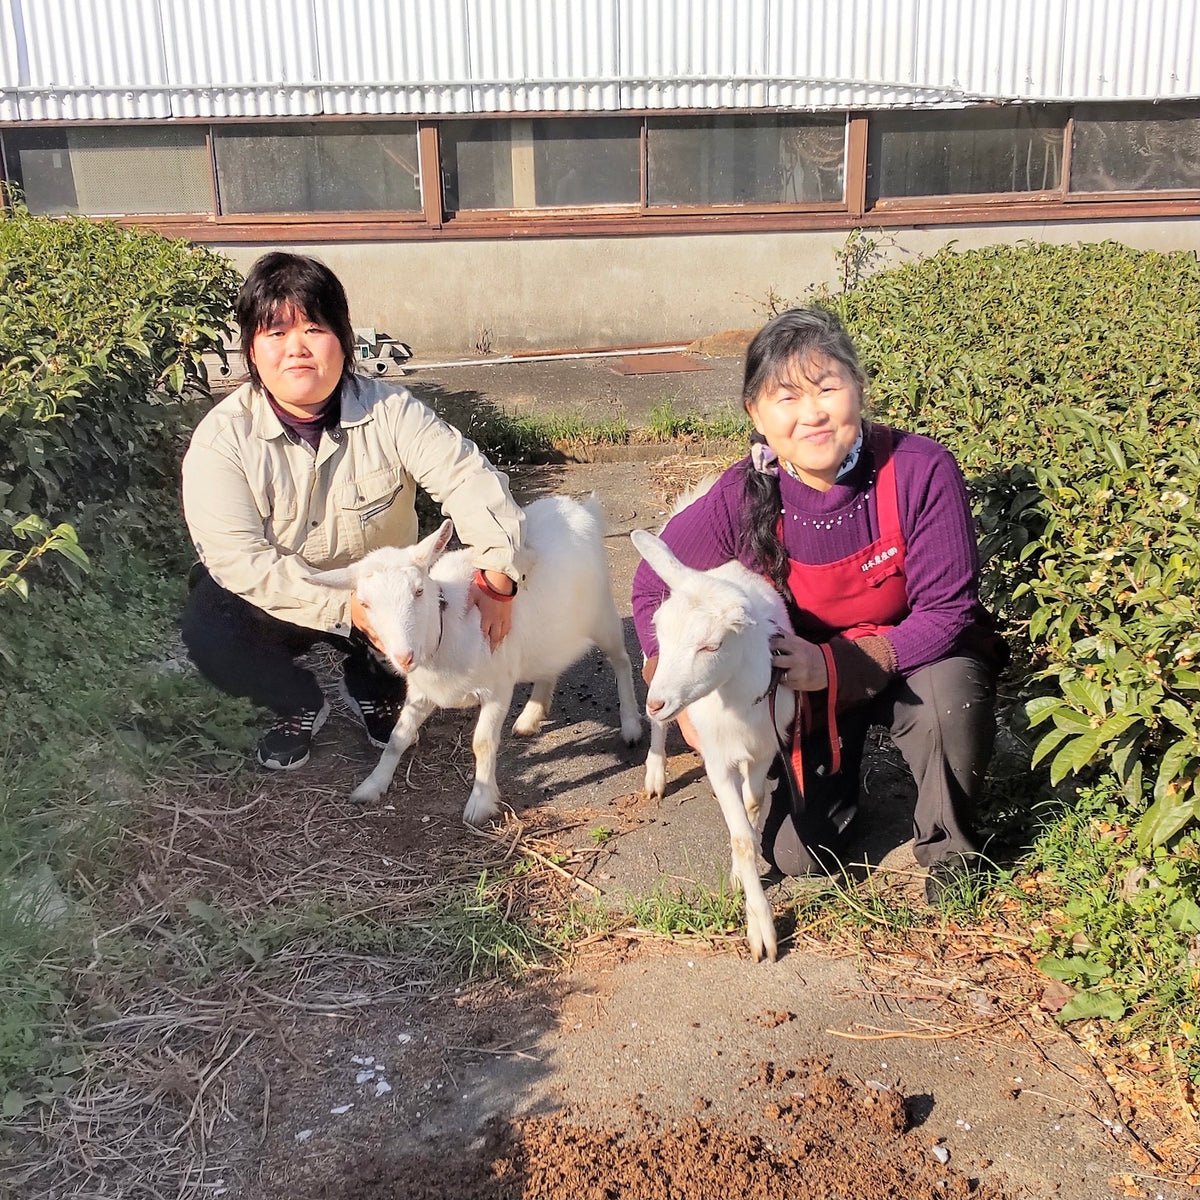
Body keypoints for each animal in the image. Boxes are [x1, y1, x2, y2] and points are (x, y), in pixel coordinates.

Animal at [314, 494, 643, 825]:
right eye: (364, 603)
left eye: (419, 591)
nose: (404, 657)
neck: (445, 630)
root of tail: (579, 507)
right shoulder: (421, 692)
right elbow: (398, 736)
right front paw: (372, 785)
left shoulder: (497, 689)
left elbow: (482, 743)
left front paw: (480, 803)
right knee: (549, 665)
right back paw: (530, 717)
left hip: (602, 616)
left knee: (621, 660)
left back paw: (630, 725)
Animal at [633, 530, 792, 960]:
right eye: (660, 632)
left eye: (711, 645)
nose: (656, 701)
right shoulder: (717, 760)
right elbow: (740, 836)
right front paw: (762, 931)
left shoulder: (764, 748)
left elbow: (753, 805)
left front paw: (743, 870)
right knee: (659, 728)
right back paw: (655, 774)